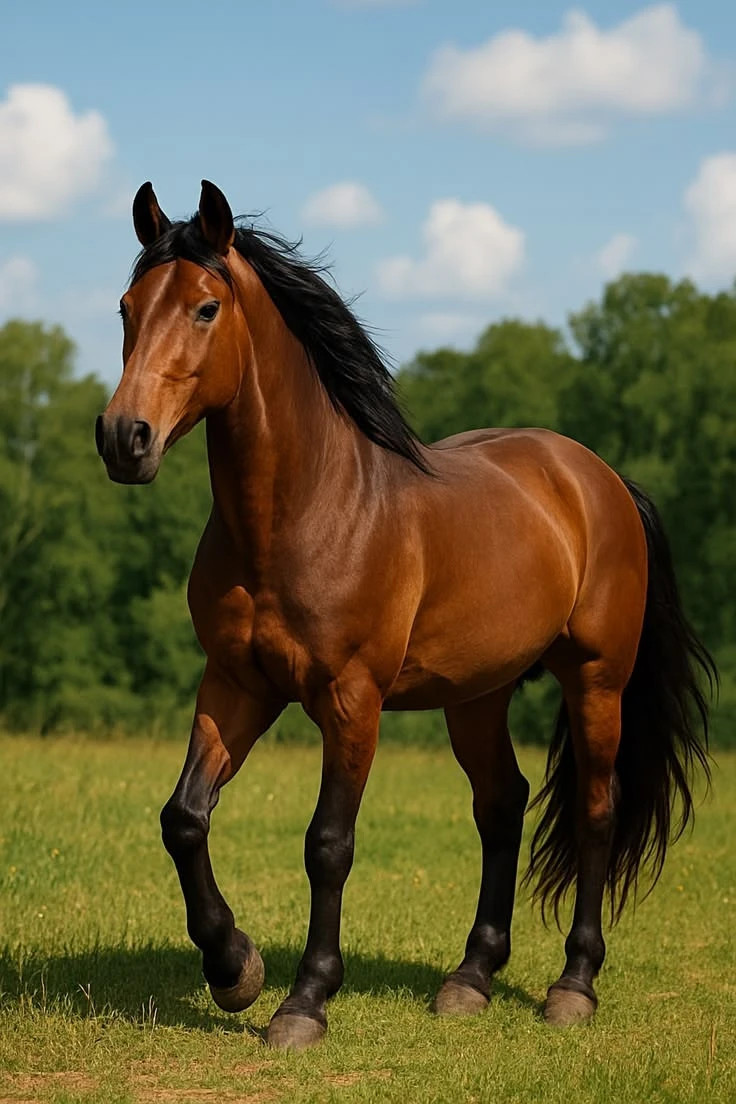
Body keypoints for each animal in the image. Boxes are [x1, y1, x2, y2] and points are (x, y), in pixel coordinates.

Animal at [95, 180, 714, 1050]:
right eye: (127, 307)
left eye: (206, 308)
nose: (124, 437)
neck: (306, 511)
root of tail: (599, 478)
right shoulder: (235, 686)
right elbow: (183, 817)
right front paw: (233, 968)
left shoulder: (352, 702)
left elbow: (328, 844)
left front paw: (305, 1001)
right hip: (479, 695)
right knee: (502, 804)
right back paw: (470, 978)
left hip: (596, 682)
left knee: (596, 810)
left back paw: (573, 986)